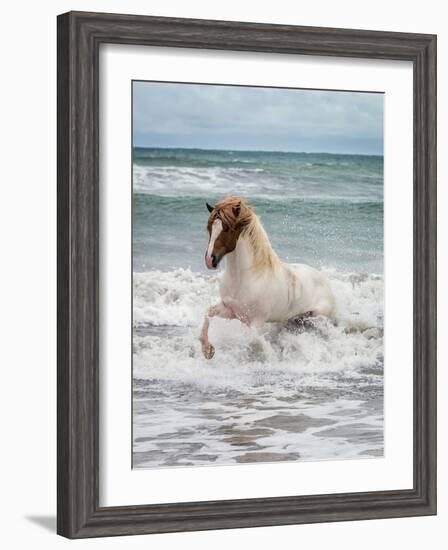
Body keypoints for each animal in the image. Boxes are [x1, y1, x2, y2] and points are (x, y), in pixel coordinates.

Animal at [198, 196, 334, 360]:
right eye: (210, 228)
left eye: (227, 229)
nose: (209, 260)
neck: (243, 277)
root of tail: (326, 282)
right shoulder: (231, 311)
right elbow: (208, 313)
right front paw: (208, 350)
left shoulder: (256, 320)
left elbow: (253, 339)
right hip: (293, 320)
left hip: (316, 318)